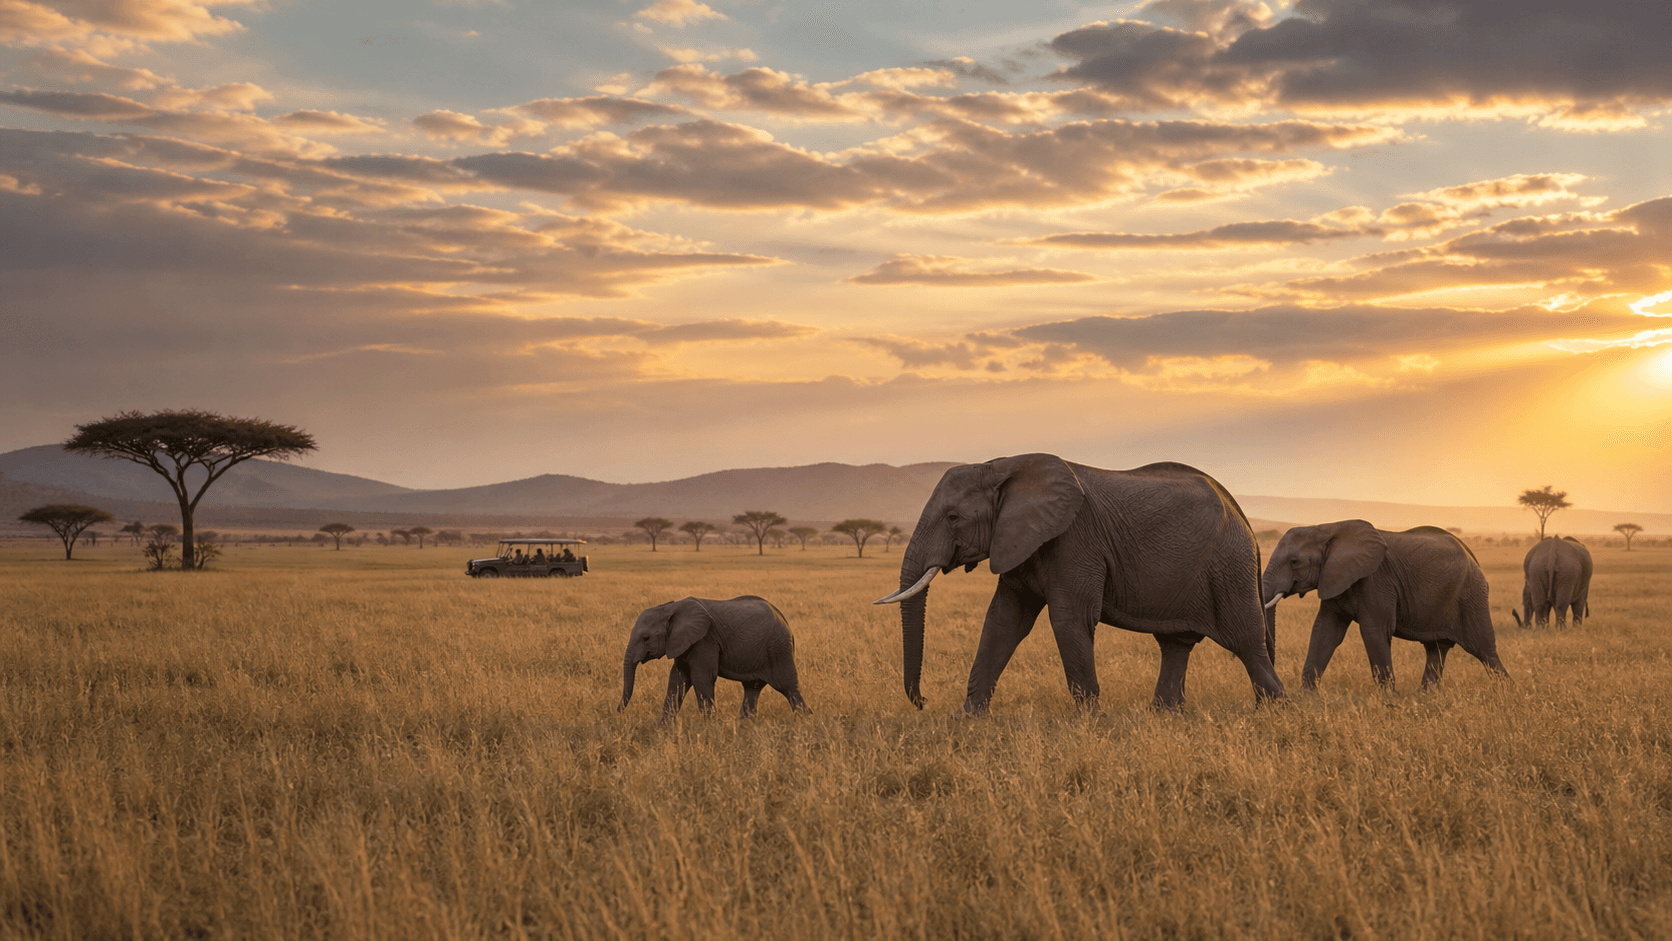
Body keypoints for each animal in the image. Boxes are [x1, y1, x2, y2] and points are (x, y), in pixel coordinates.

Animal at [619, 595, 810, 724]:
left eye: (646, 638)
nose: (618, 711)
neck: (670, 608)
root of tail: (784, 620)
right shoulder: (683, 643)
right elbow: (677, 680)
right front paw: (661, 729)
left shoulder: (705, 640)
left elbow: (701, 678)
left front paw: (710, 727)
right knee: (752, 689)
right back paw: (744, 726)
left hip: (778, 649)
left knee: (788, 687)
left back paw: (805, 721)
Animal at [874, 454, 1284, 715]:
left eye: (953, 517)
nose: (924, 702)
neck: (1002, 466)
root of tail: (1243, 517)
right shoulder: (1020, 541)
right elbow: (1003, 621)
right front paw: (966, 720)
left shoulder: (1074, 541)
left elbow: (1069, 619)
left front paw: (1089, 723)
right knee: (1176, 643)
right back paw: (1164, 715)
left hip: (1228, 566)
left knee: (1246, 641)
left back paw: (1273, 712)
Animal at [1262, 521, 1508, 691]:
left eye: (1294, 562)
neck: (1327, 527)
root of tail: (1473, 557)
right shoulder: (1334, 578)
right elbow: (1325, 631)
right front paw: (1305, 698)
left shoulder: (1376, 580)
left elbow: (1373, 631)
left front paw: (1389, 702)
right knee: (1436, 649)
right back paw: (1424, 698)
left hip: (1471, 594)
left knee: (1483, 649)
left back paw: (1507, 695)